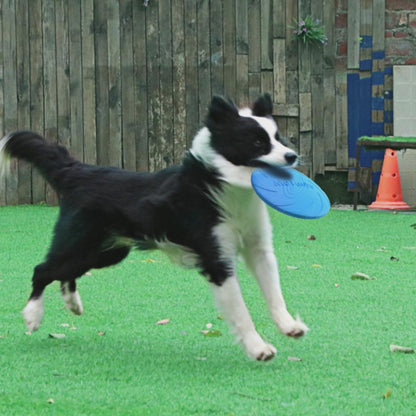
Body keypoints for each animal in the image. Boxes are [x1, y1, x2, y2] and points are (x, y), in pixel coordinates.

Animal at [0, 94, 308, 360]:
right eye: (257, 142)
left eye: (278, 138)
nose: (292, 156)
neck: (223, 186)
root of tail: (78, 170)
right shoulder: (217, 261)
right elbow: (242, 311)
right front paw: (259, 348)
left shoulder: (259, 249)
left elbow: (274, 292)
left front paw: (289, 326)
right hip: (80, 243)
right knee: (42, 269)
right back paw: (33, 315)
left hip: (105, 252)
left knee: (65, 273)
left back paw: (72, 302)